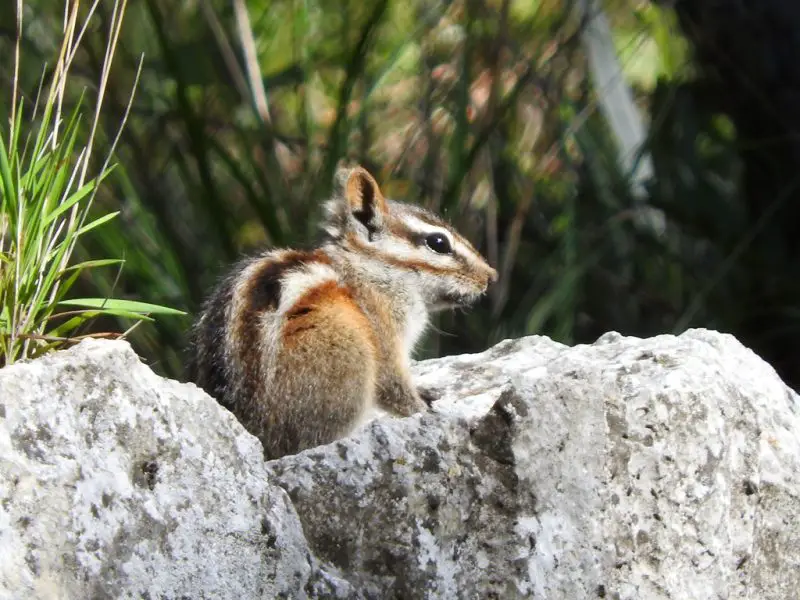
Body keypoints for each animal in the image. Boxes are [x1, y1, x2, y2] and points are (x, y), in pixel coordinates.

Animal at [187, 165, 497, 460]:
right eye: (438, 243)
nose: (491, 276)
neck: (368, 268)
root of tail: (259, 434)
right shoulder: (383, 331)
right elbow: (393, 385)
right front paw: (425, 411)